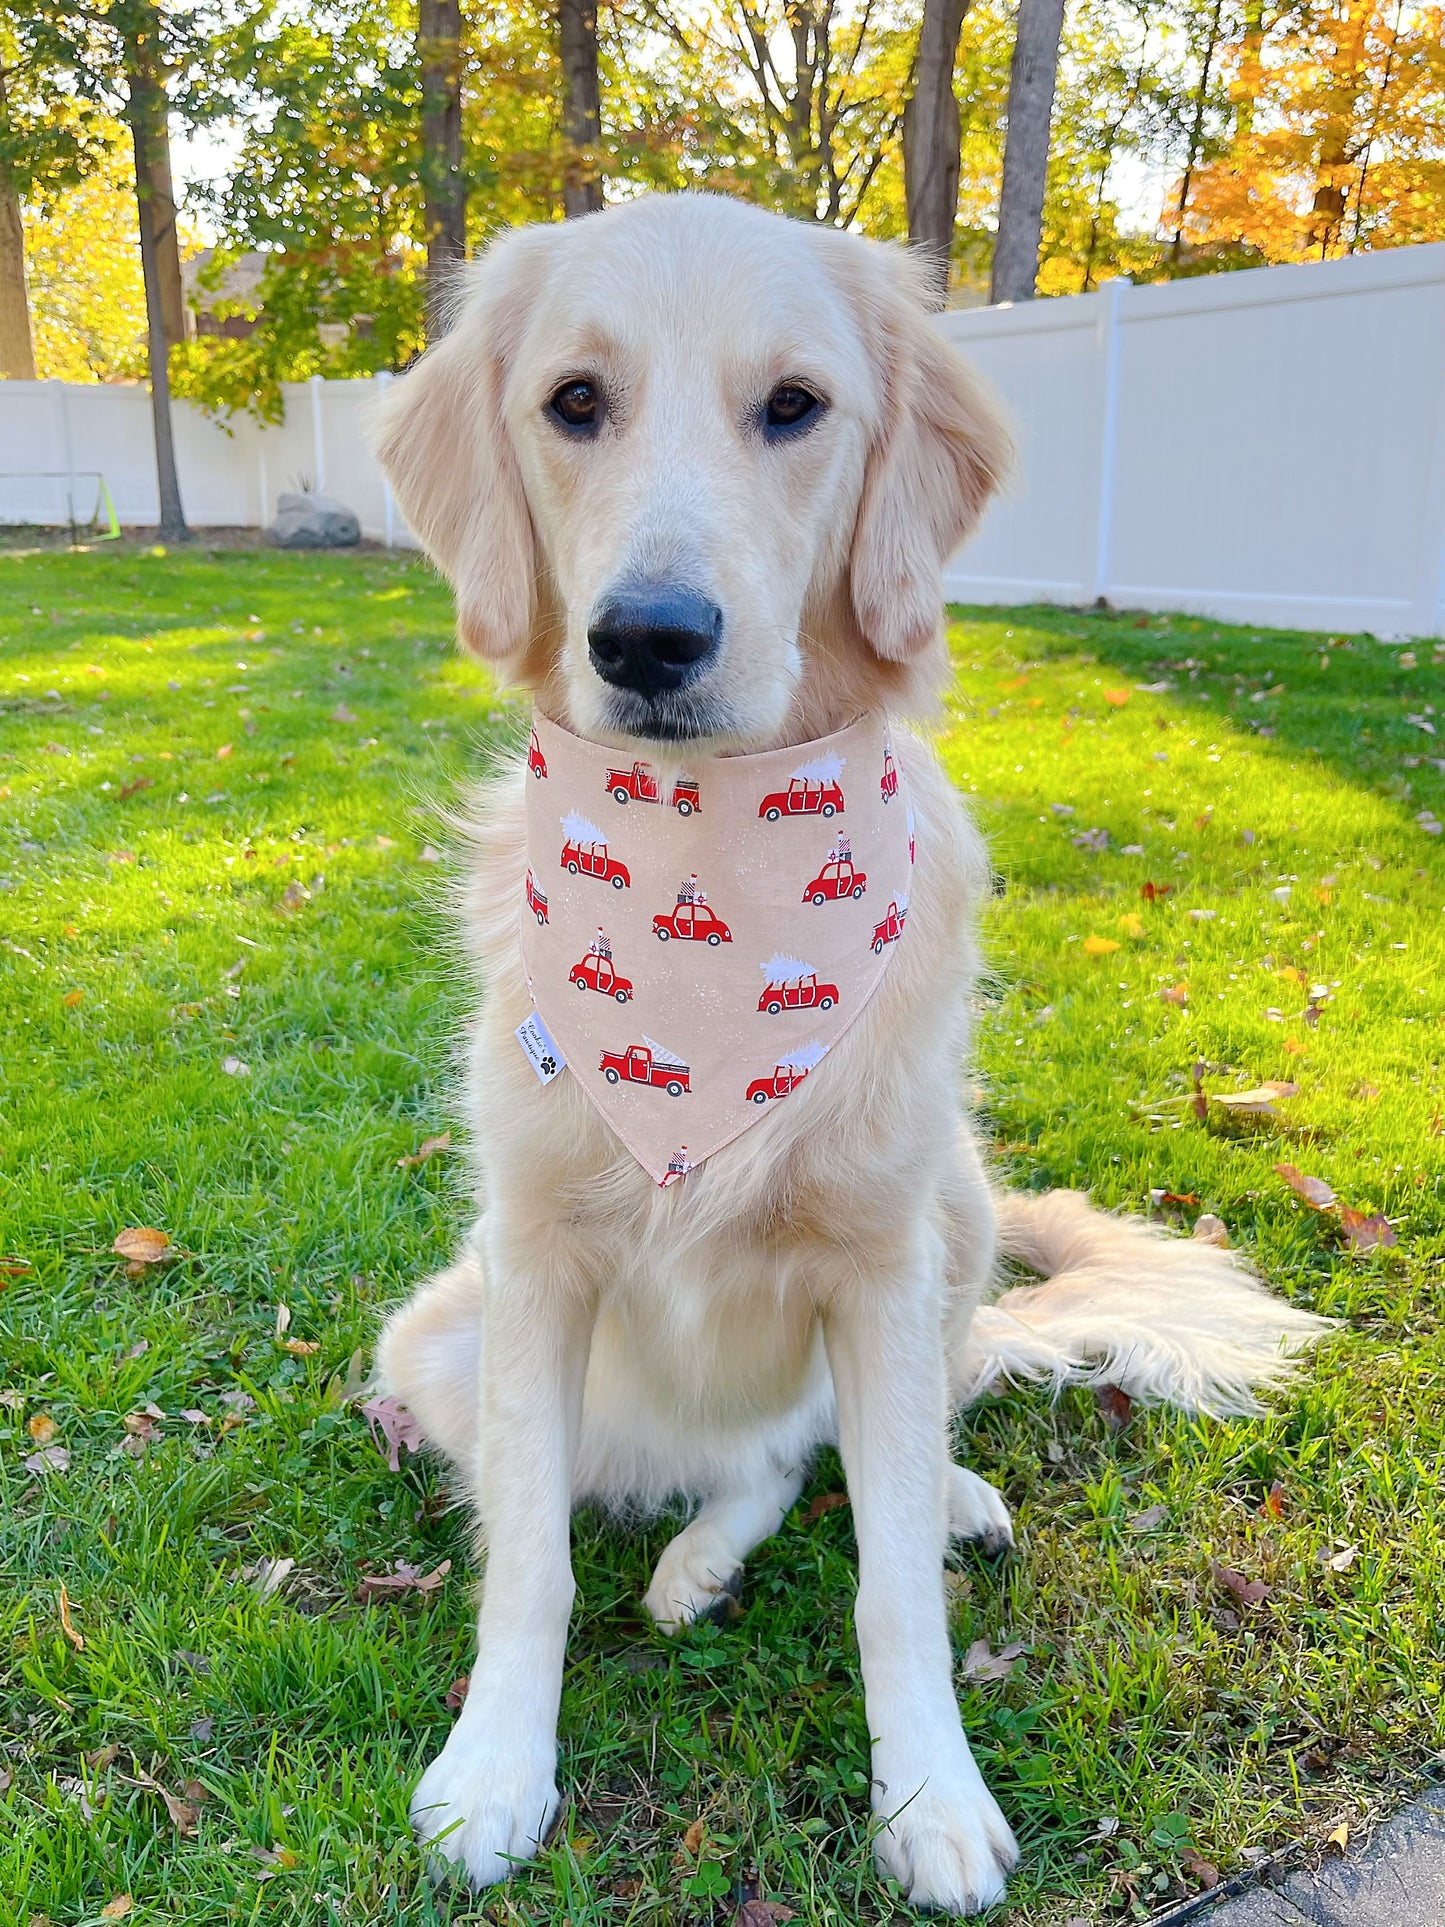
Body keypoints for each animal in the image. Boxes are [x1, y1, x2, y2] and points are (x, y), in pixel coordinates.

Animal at [375, 195, 1333, 1911]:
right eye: (573, 401)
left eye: (794, 407)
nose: (649, 637)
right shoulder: (533, 1256)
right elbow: (529, 1565)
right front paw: (494, 1771)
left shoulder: (882, 1264)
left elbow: (892, 1585)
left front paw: (931, 1795)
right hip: (434, 1338)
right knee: (732, 1473)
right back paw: (690, 1557)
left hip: (954, 1207)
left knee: (842, 1449)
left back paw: (934, 1492)